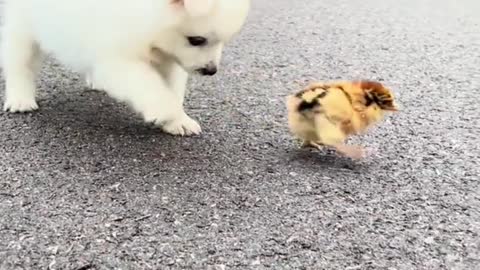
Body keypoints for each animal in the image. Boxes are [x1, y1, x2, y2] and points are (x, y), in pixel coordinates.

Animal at [1, 0, 251, 135]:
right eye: (196, 40)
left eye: (223, 41)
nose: (211, 70)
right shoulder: (117, 57)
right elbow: (147, 84)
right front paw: (165, 111)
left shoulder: (170, 56)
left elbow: (172, 86)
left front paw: (179, 121)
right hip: (24, 24)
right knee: (19, 61)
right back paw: (20, 99)